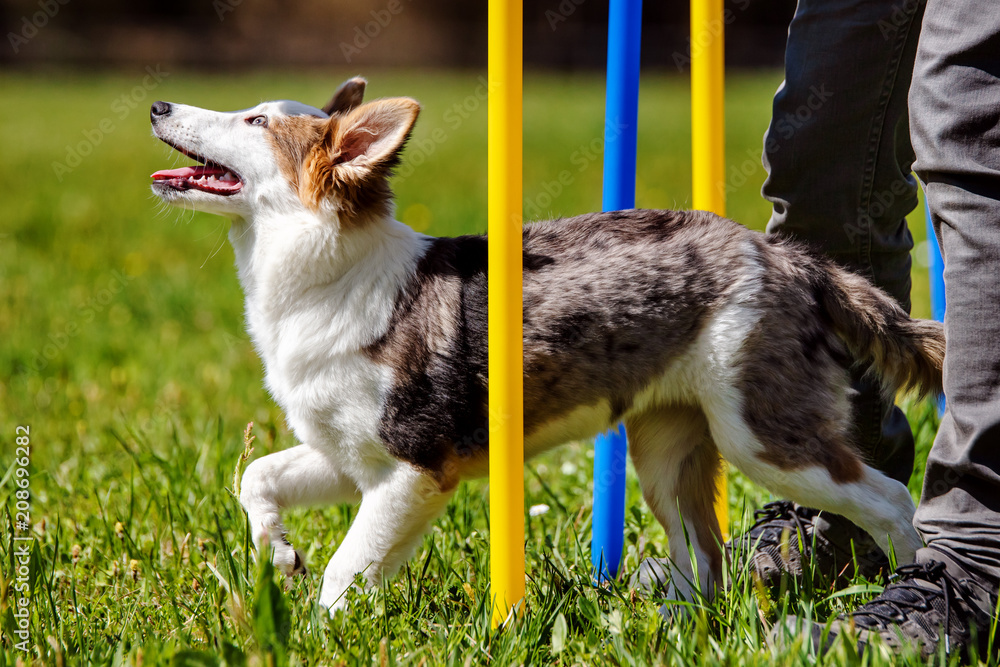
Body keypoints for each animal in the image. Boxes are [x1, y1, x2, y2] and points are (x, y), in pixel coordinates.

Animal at [150, 78, 944, 616]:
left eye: (254, 122)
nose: (158, 107)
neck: (322, 275)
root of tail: (794, 260)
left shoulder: (415, 468)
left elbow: (348, 567)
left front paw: (321, 629)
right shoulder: (349, 458)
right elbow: (257, 476)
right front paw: (278, 550)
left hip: (765, 434)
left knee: (891, 497)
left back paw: (913, 582)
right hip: (667, 448)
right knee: (704, 556)